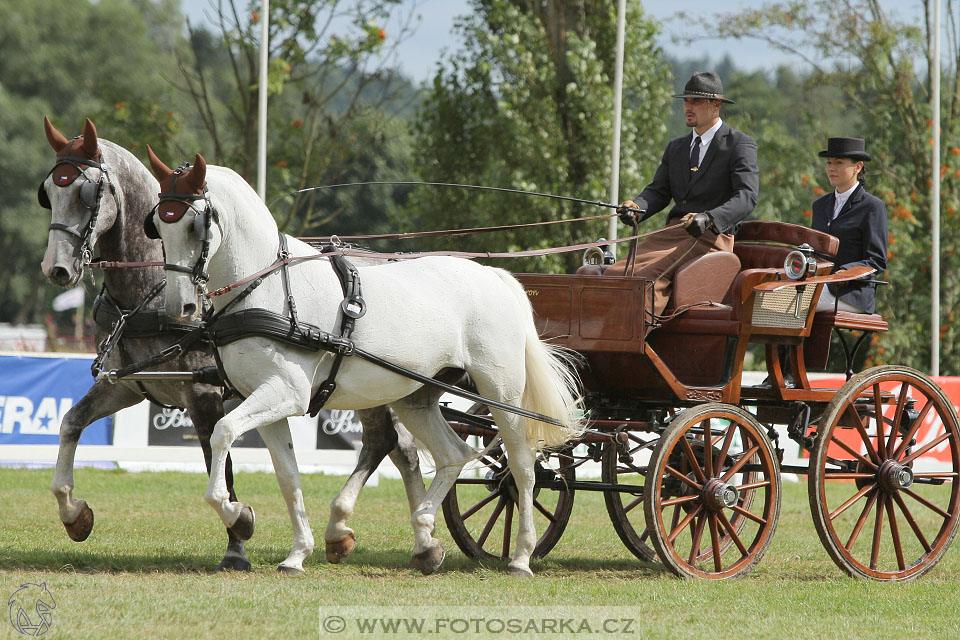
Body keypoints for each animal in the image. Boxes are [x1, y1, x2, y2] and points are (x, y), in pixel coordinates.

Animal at [145, 151, 580, 580]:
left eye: (194, 225)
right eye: (159, 226)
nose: (181, 307)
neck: (266, 288)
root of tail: (494, 276)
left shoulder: (286, 393)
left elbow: (223, 432)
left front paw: (238, 515)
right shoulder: (264, 401)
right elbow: (287, 476)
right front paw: (295, 552)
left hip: (500, 392)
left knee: (522, 466)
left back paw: (520, 557)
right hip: (417, 396)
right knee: (453, 453)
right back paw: (425, 533)